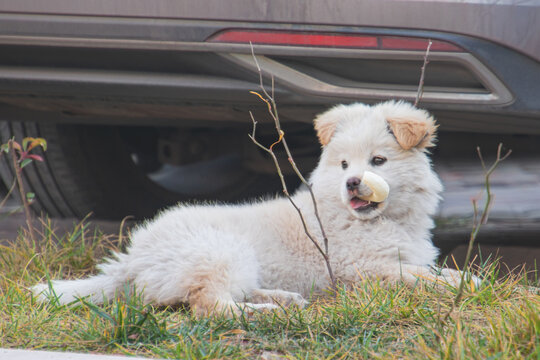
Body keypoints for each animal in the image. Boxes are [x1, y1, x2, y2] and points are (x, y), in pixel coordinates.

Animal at [32, 100, 464, 316]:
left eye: (377, 161)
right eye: (344, 165)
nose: (353, 183)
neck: (382, 221)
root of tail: (133, 260)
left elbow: (436, 271)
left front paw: (461, 278)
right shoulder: (365, 269)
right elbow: (424, 279)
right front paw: (470, 284)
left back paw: (281, 299)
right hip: (221, 250)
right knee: (209, 305)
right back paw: (266, 312)